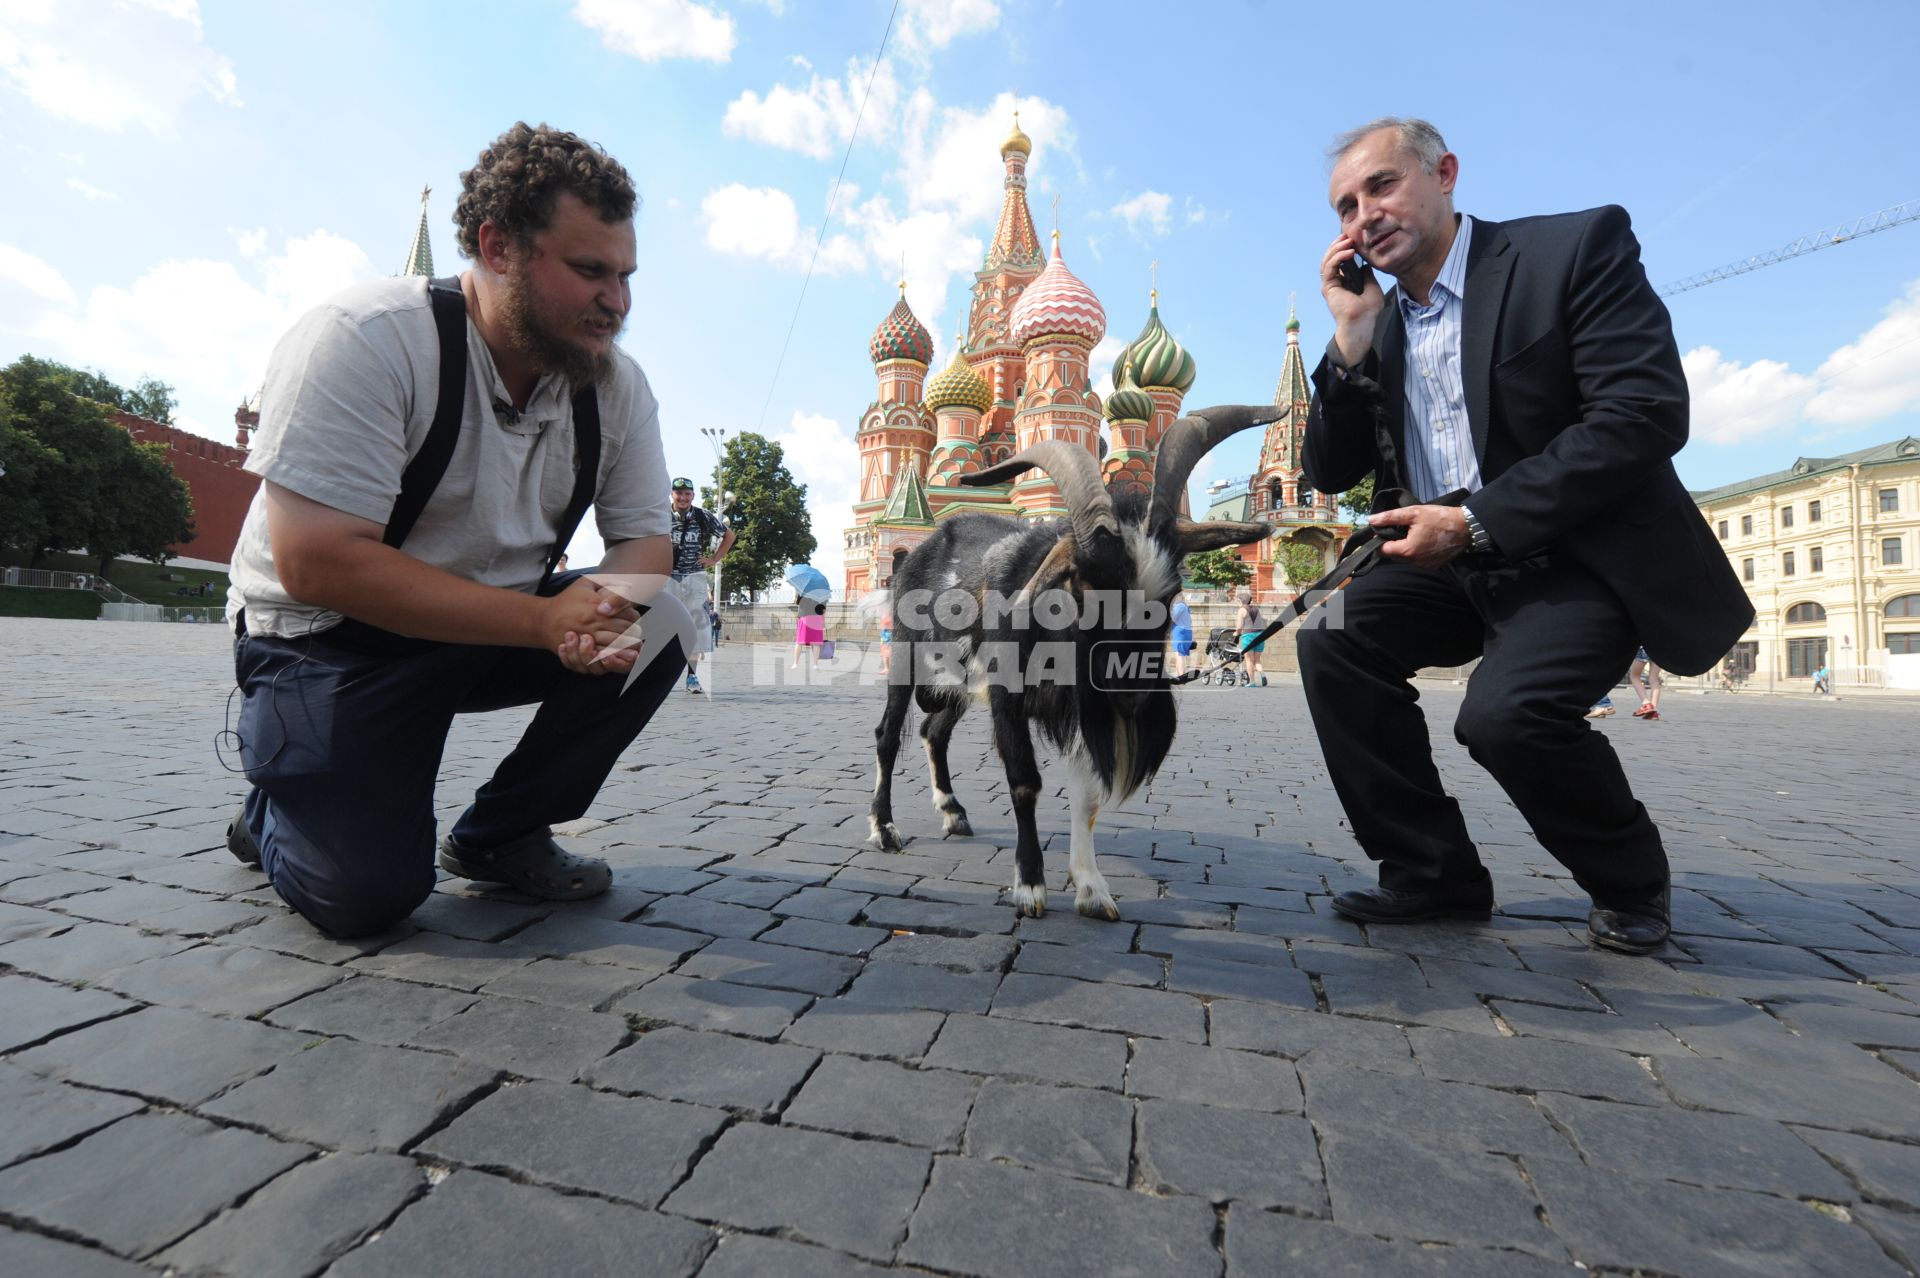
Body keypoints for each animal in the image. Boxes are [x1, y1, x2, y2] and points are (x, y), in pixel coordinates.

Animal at [871, 402, 1274, 909]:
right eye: (1083, 585)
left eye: (1171, 592)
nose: (1133, 695)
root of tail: (919, 550)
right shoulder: (1008, 698)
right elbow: (1024, 781)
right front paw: (1030, 884)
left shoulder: (1087, 708)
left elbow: (1087, 797)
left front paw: (1091, 887)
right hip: (906, 656)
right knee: (888, 735)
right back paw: (884, 829)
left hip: (960, 683)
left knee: (932, 731)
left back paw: (953, 812)